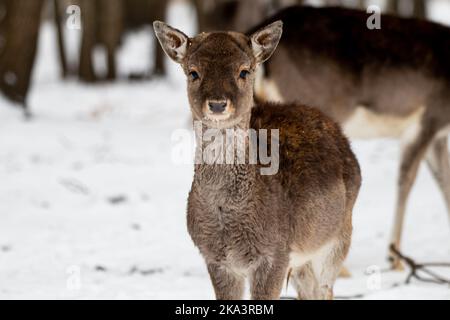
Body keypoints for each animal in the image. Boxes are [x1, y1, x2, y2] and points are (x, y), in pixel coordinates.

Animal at [153, 20, 360, 300]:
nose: (217, 104)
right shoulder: (215, 259)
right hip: (303, 260)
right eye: (193, 72)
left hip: (337, 238)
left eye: (244, 71)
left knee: (325, 288)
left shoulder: (276, 253)